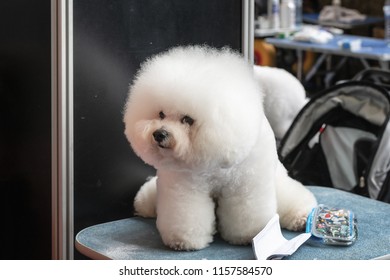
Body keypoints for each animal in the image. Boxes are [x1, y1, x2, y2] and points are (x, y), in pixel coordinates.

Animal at [123, 46, 318, 252]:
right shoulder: (183, 186)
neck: (214, 163)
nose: (159, 134)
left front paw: (246, 236)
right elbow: (187, 213)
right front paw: (183, 241)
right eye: (160, 114)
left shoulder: (246, 185)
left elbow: (247, 214)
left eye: (187, 119)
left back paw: (301, 217)